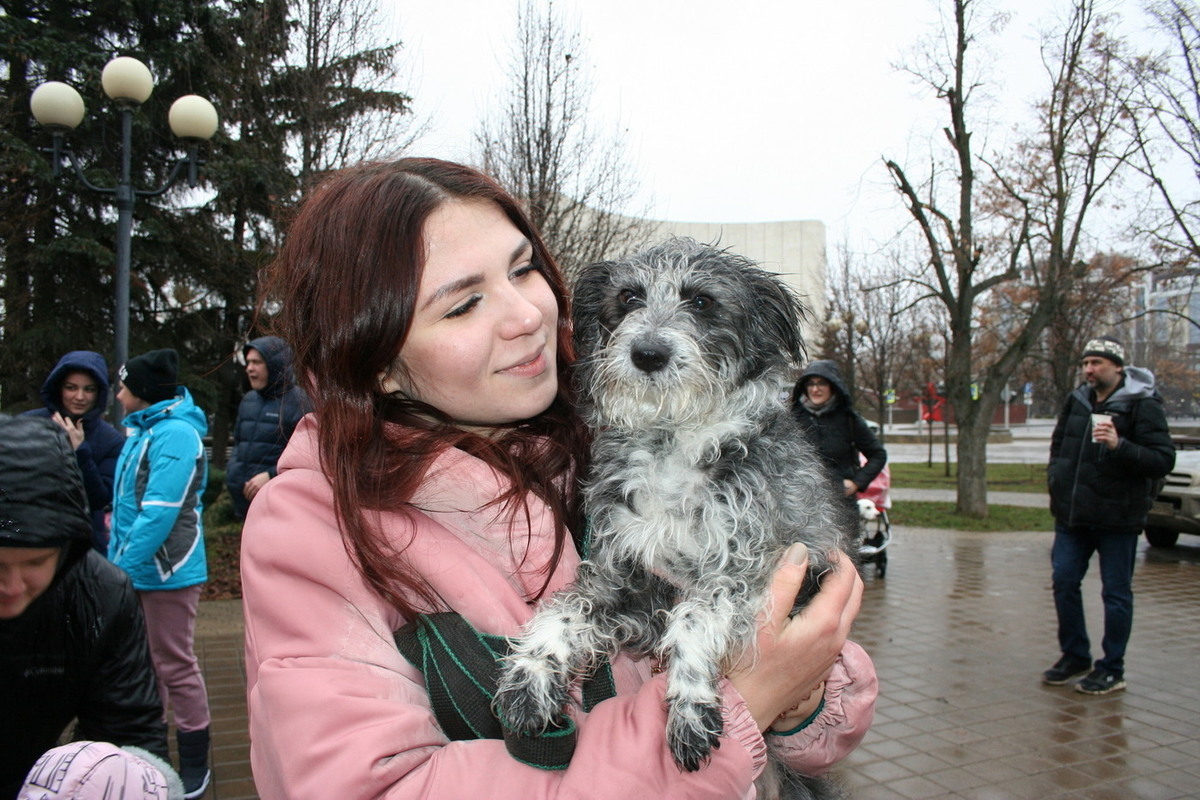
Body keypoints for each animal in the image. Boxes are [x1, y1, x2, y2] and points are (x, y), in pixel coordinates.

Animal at [494, 237, 854, 800]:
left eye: (702, 301)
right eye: (628, 297)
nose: (647, 354)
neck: (672, 441)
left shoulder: (746, 573)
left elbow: (690, 620)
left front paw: (689, 709)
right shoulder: (622, 578)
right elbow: (562, 611)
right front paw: (529, 678)